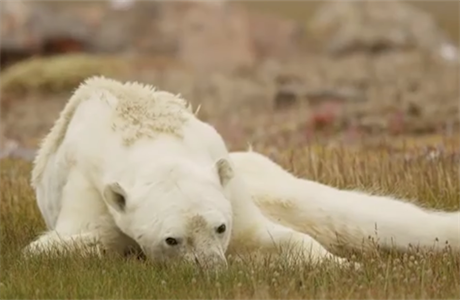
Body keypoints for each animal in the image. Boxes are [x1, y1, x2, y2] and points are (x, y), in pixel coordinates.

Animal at [25, 76, 348, 268]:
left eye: (220, 227)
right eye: (172, 239)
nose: (212, 269)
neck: (150, 139)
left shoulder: (228, 187)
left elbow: (264, 235)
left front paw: (345, 264)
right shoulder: (89, 190)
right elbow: (61, 245)